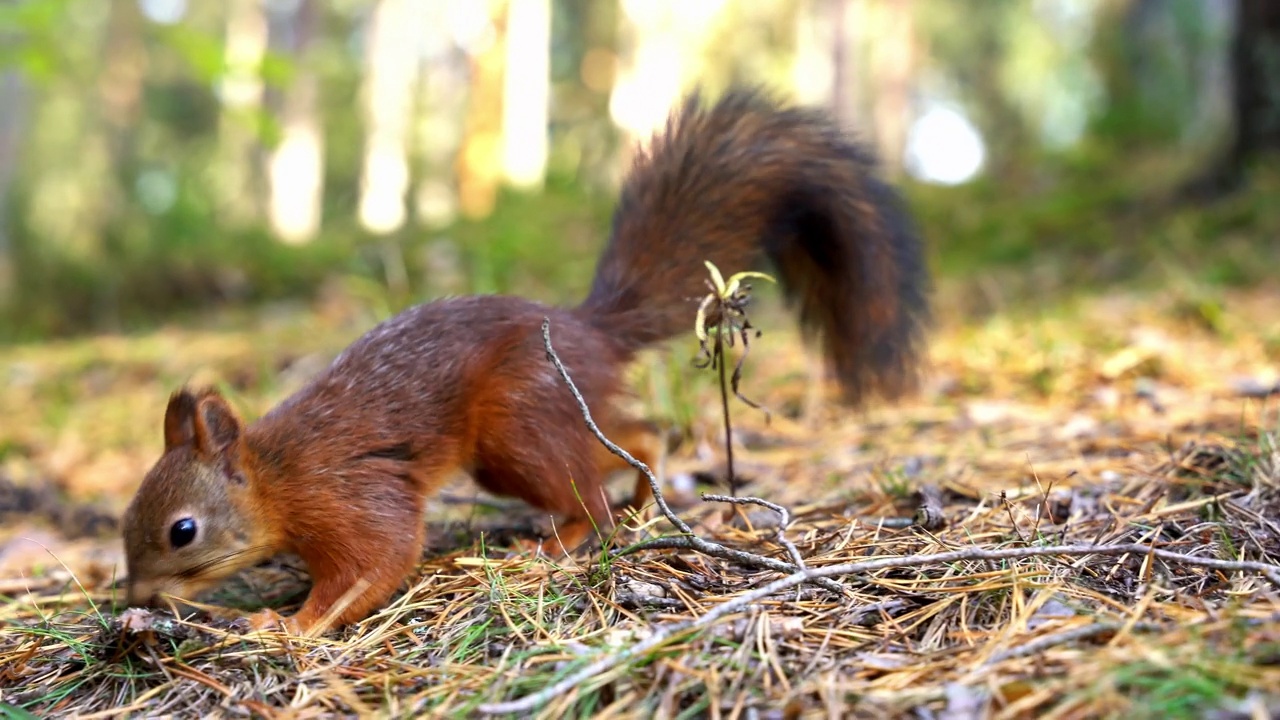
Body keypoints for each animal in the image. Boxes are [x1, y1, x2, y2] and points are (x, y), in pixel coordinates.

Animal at [120, 88, 931, 627]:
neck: (277, 477)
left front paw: (289, 626)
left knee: (586, 500)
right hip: (551, 418)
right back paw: (645, 489)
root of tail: (588, 330)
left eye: (182, 531)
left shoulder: (349, 497)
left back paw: (557, 543)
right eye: (126, 518)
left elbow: (379, 560)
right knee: (633, 435)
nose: (135, 599)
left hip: (517, 424)